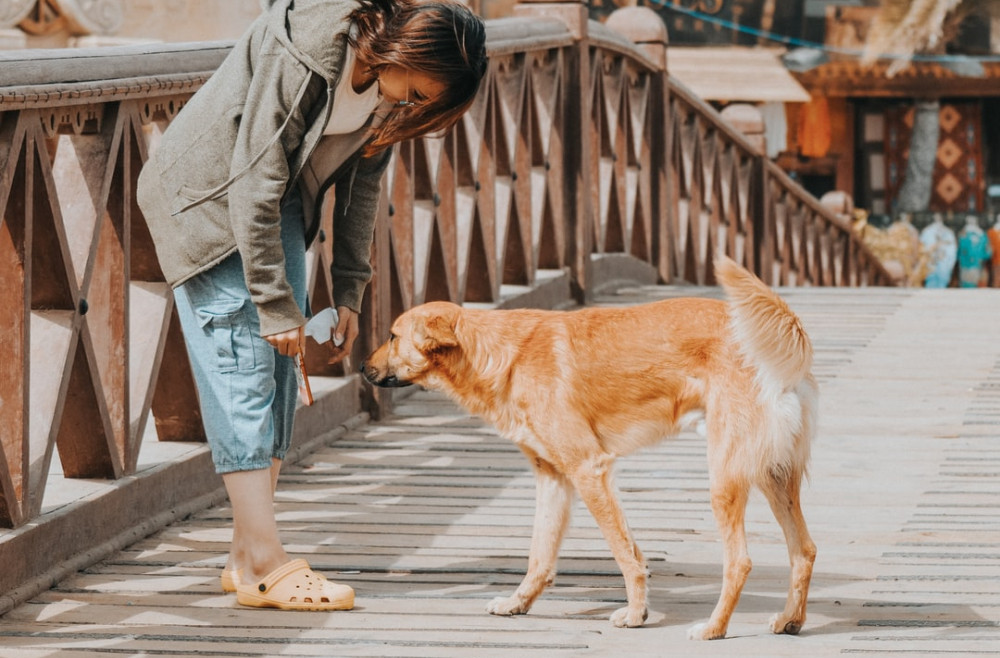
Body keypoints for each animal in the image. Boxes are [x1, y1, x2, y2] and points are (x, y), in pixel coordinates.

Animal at [364, 256, 816, 636]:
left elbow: (623, 554)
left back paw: (713, 629)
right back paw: (790, 620)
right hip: (774, 476)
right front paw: (517, 603)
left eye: (392, 335)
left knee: (740, 561)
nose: (364, 369)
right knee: (804, 551)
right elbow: (542, 555)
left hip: (725, 479)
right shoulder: (554, 479)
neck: (500, 355)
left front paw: (636, 613)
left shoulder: (588, 469)